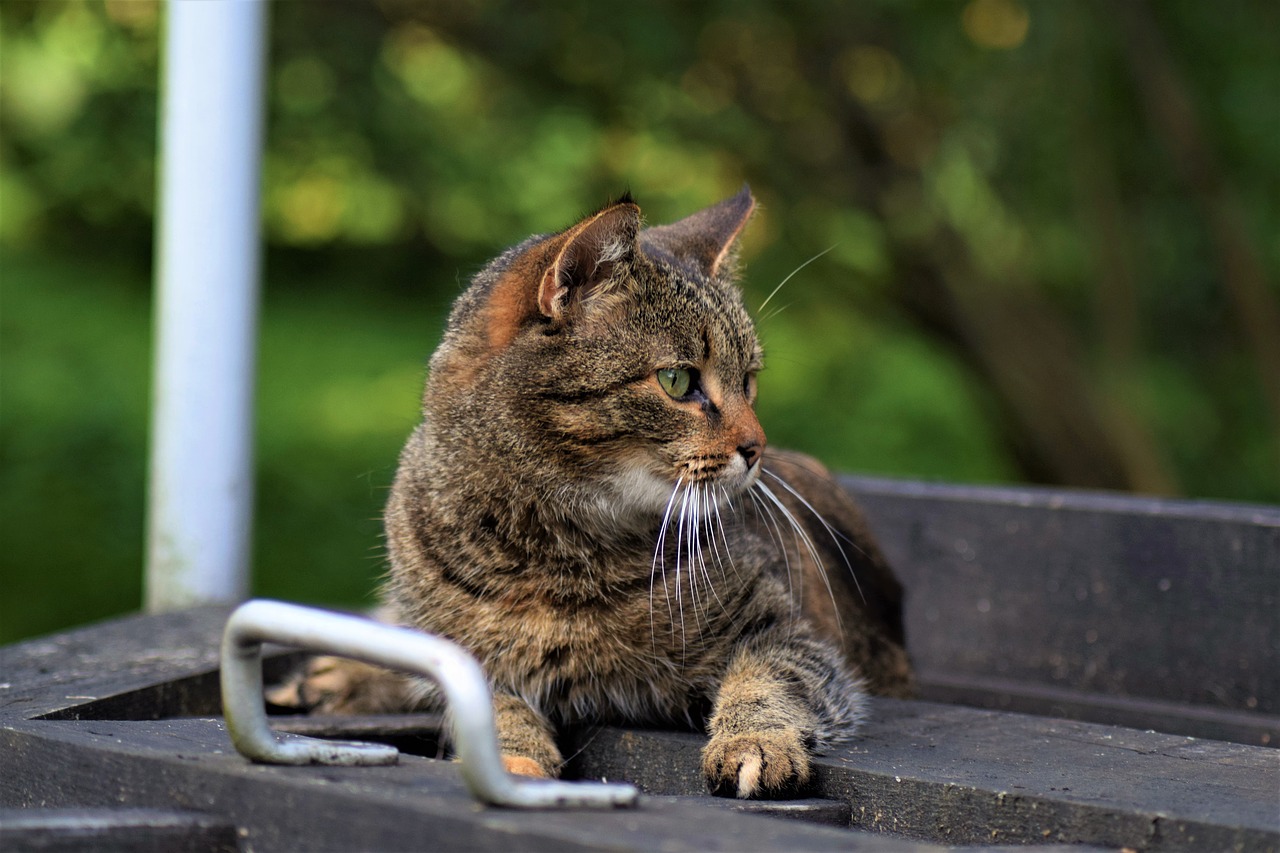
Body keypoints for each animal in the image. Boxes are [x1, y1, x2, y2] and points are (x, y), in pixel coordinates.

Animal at [277, 185, 921, 799]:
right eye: (678, 380)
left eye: (749, 382)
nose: (757, 446)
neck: (556, 552)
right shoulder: (466, 657)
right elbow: (485, 707)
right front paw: (512, 763)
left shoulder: (786, 632)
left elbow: (769, 681)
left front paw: (755, 742)